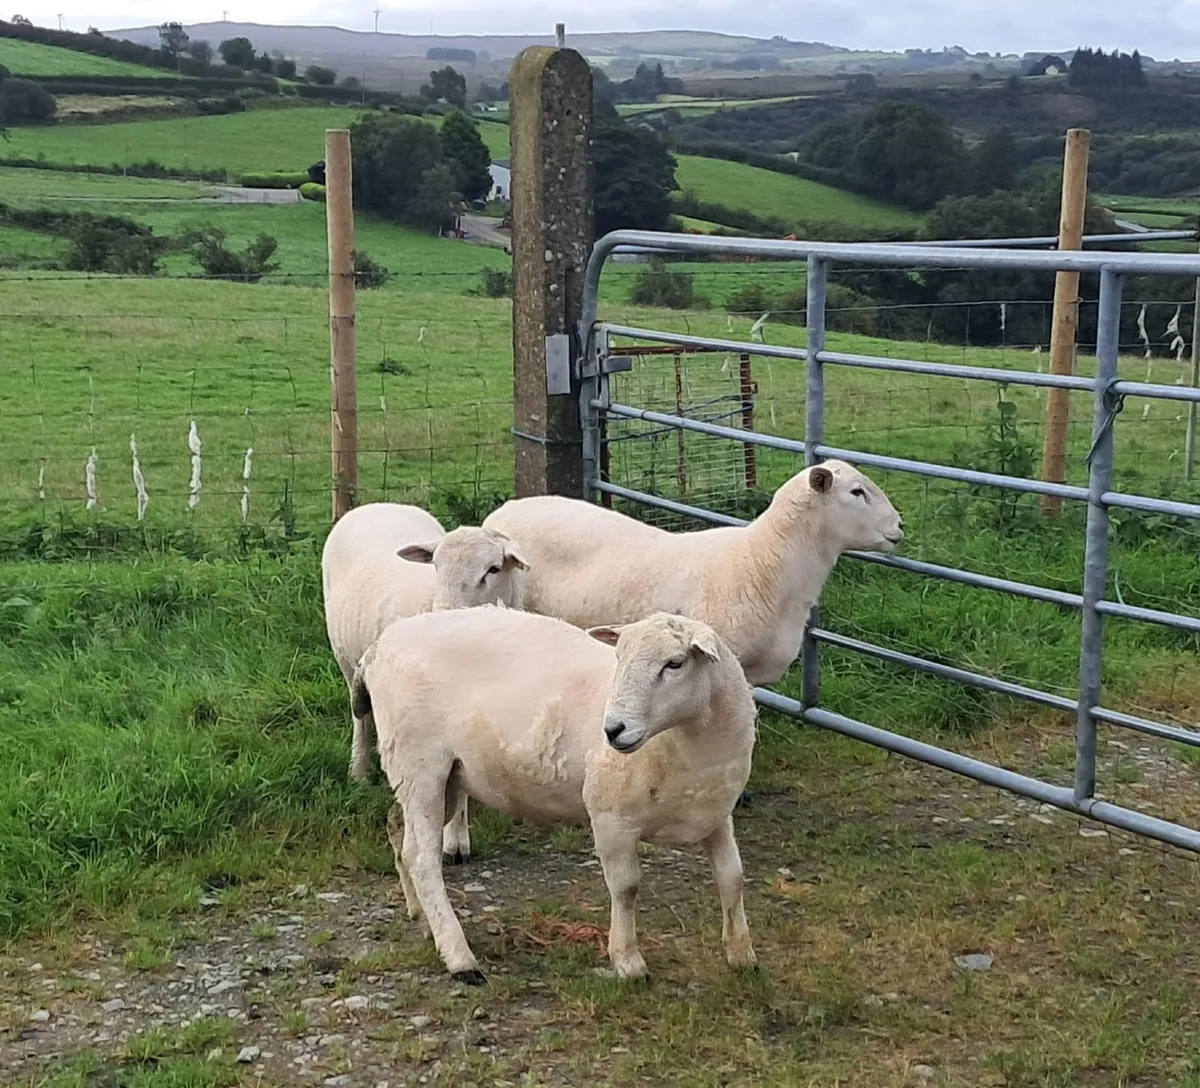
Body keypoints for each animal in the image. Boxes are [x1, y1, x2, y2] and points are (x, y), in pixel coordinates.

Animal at [321, 501, 530, 864]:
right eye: (436, 567)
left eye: (492, 569)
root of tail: (377, 504)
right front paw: (453, 842)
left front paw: (457, 837)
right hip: (346, 657)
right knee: (360, 717)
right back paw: (359, 770)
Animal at [351, 607, 758, 984]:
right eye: (619, 657)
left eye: (675, 663)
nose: (613, 729)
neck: (691, 746)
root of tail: (376, 648)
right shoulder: (611, 818)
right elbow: (626, 888)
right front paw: (628, 962)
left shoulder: (717, 814)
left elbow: (732, 877)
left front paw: (742, 955)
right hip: (420, 764)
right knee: (422, 859)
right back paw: (459, 957)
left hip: (444, 776)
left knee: (399, 833)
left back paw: (423, 920)